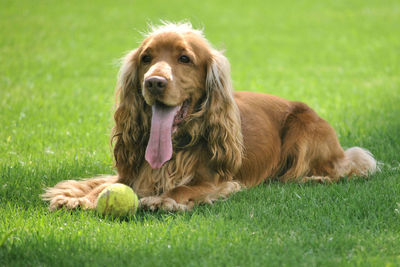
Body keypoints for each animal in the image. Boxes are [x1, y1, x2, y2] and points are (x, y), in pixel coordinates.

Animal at [42, 22, 376, 213]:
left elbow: (187, 188)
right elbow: (103, 185)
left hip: (304, 132)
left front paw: (165, 200)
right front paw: (79, 197)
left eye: (184, 58)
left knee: (347, 165)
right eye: (146, 58)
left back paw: (316, 176)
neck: (176, 147)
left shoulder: (219, 180)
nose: (154, 82)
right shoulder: (130, 173)